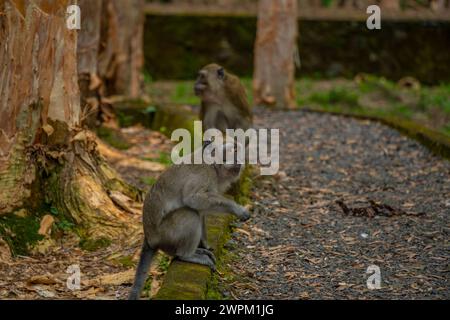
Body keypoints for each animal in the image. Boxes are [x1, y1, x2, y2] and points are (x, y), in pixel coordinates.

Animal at [128, 140, 250, 300]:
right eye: (232, 151)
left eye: (237, 150)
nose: (238, 160)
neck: (213, 166)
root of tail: (149, 238)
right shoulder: (204, 175)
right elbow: (193, 200)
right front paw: (236, 209)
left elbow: (201, 209)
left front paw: (205, 245)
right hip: (165, 234)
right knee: (190, 215)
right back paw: (187, 255)